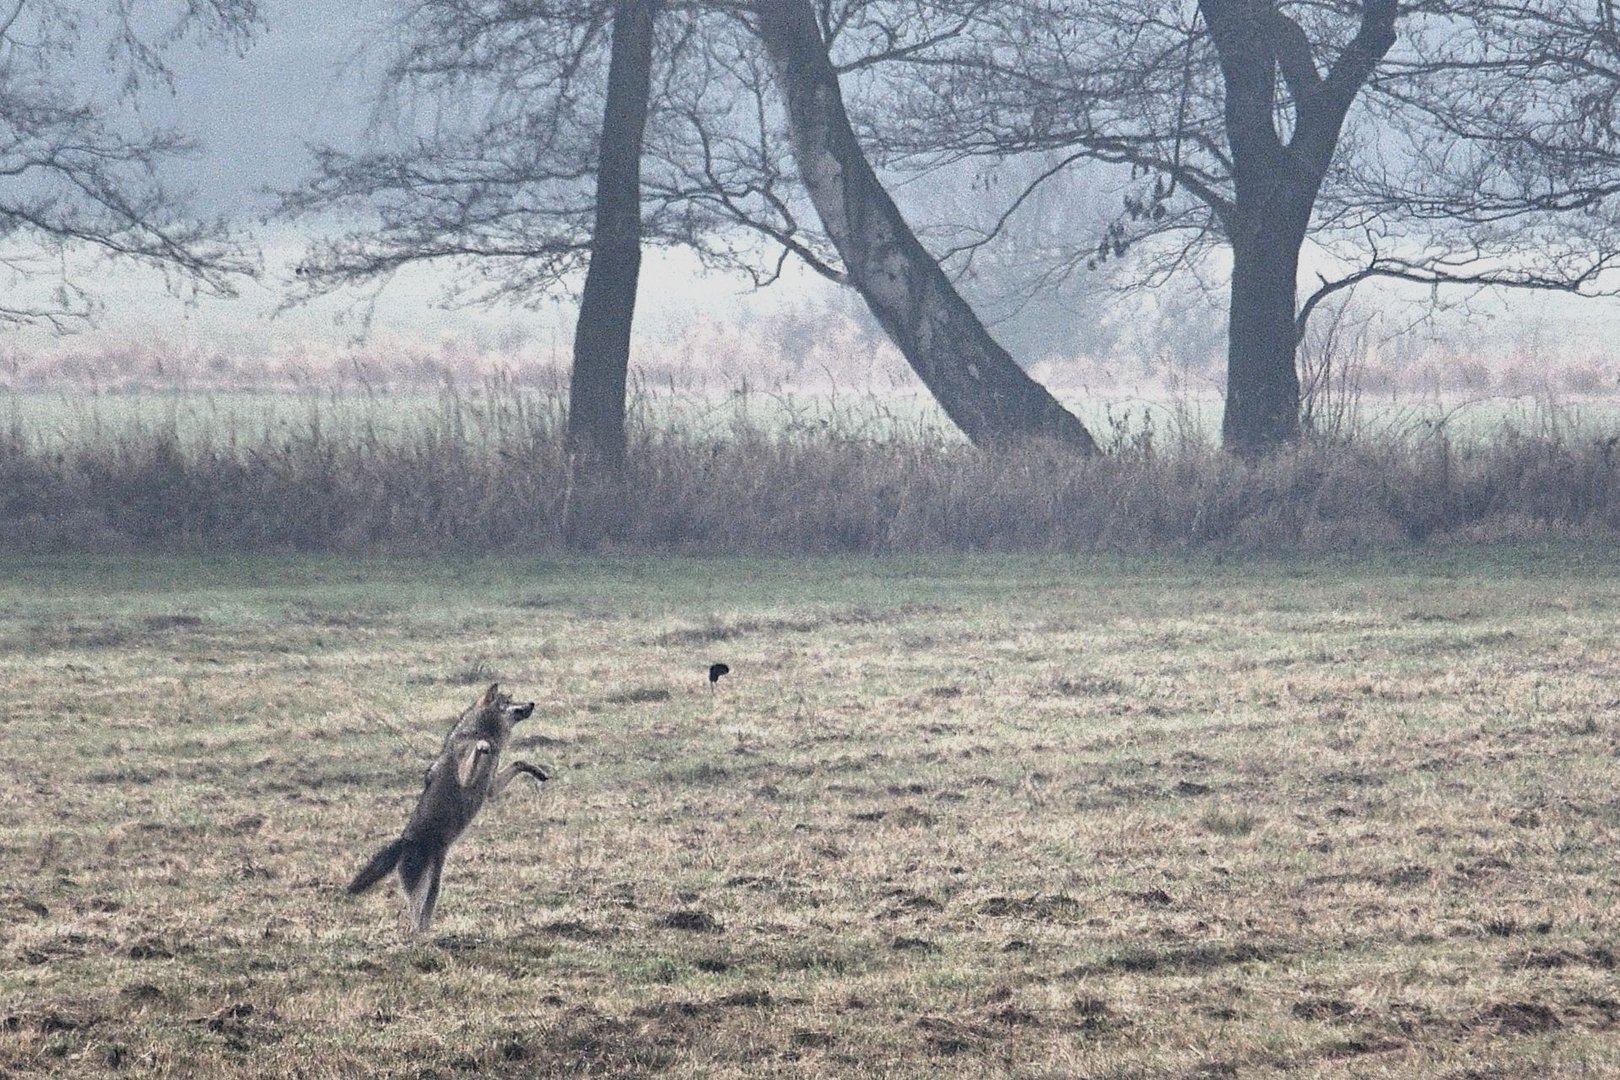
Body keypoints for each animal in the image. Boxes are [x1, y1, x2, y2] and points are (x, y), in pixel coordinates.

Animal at [346, 683, 550, 932]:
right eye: (508, 701)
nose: (531, 703)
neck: (481, 731)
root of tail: (404, 841)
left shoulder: (491, 789)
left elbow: (519, 762)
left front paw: (538, 772)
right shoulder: (466, 777)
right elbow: (477, 750)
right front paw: (483, 745)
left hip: (434, 886)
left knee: (423, 916)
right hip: (420, 890)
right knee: (414, 919)